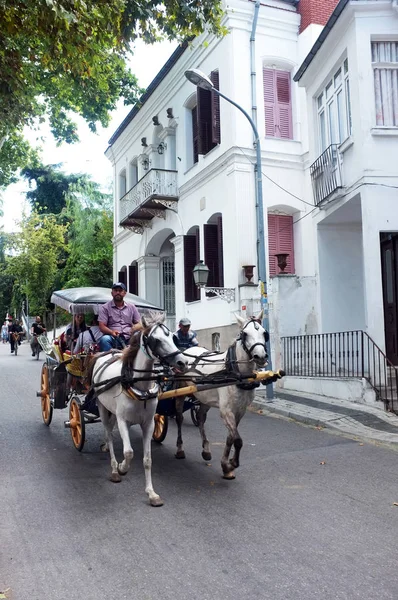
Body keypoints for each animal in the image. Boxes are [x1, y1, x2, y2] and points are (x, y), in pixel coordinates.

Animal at [86, 316, 188, 508]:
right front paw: (122, 468)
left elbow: (147, 460)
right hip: (103, 408)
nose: (183, 362)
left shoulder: (149, 423)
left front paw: (152, 494)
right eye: (155, 340)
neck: (138, 385)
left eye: (173, 337)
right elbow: (129, 452)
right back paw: (114, 469)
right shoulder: (122, 421)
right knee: (109, 436)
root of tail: (106, 354)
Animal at [173, 312, 268, 480]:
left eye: (264, 333)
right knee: (179, 418)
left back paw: (206, 450)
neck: (236, 373)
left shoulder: (240, 410)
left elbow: (231, 437)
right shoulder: (226, 411)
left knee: (200, 418)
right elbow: (238, 440)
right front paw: (231, 464)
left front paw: (226, 466)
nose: (261, 356)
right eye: (245, 334)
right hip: (180, 392)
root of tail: (187, 351)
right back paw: (180, 449)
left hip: (205, 398)